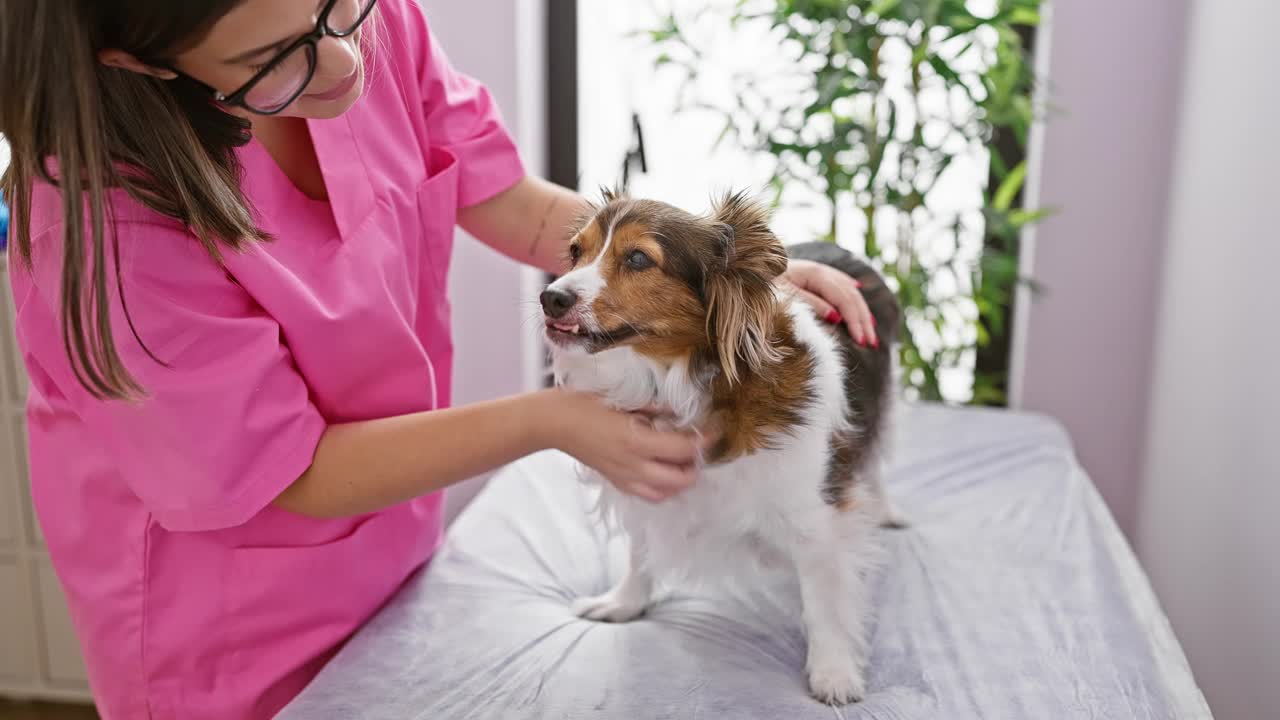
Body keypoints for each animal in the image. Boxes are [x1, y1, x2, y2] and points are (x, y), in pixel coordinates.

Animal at [540, 189, 901, 702]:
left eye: (637, 258)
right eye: (575, 252)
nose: (551, 297)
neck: (676, 377)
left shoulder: (814, 517)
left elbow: (823, 599)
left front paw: (833, 672)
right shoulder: (647, 483)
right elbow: (640, 554)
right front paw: (625, 602)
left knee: (876, 458)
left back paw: (885, 508)